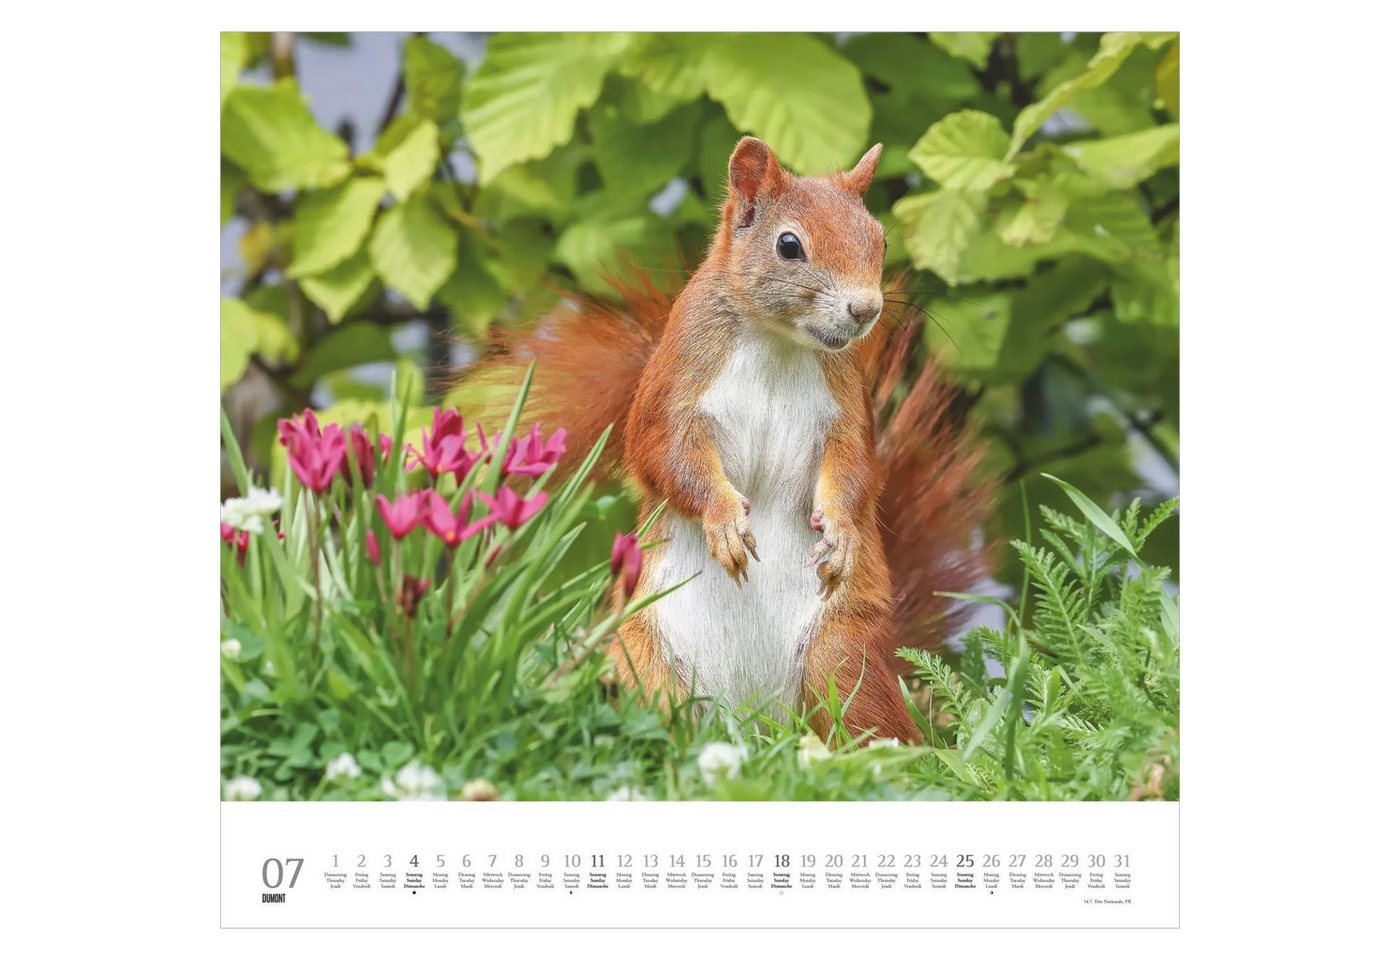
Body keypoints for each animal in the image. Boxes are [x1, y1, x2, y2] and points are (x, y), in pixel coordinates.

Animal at [474, 136, 992, 744]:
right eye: (789, 245)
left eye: (880, 238)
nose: (865, 309)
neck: (778, 343)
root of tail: (751, 724)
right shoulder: (675, 386)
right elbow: (665, 456)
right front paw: (723, 521)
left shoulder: (846, 407)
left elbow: (856, 470)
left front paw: (841, 532)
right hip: (645, 663)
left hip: (840, 657)